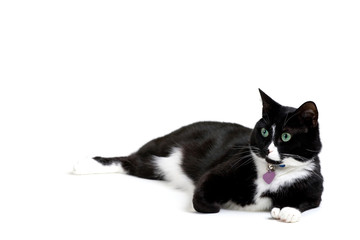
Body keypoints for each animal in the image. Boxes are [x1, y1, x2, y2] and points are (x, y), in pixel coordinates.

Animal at [73, 89, 324, 223]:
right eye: (263, 132)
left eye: (285, 136)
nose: (265, 150)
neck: (273, 171)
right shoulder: (220, 171)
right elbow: (202, 193)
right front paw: (215, 205)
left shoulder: (314, 185)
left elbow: (308, 201)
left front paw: (287, 212)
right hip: (162, 149)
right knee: (128, 161)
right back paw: (81, 166)